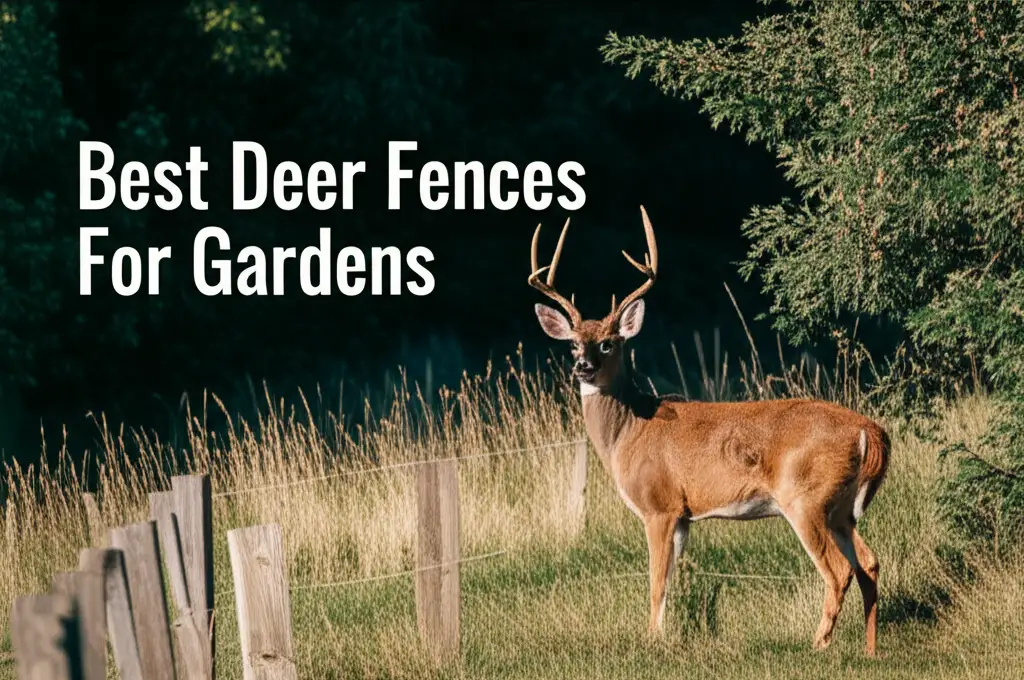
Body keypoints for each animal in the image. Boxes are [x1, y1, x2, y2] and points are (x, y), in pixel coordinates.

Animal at [527, 206, 890, 656]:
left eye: (609, 342)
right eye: (574, 344)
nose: (583, 367)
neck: (629, 431)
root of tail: (870, 430)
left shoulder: (659, 505)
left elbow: (656, 581)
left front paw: (651, 640)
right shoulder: (684, 515)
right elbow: (674, 580)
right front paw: (670, 636)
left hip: (806, 498)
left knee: (840, 570)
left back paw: (818, 644)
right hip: (840, 508)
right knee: (870, 563)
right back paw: (869, 649)